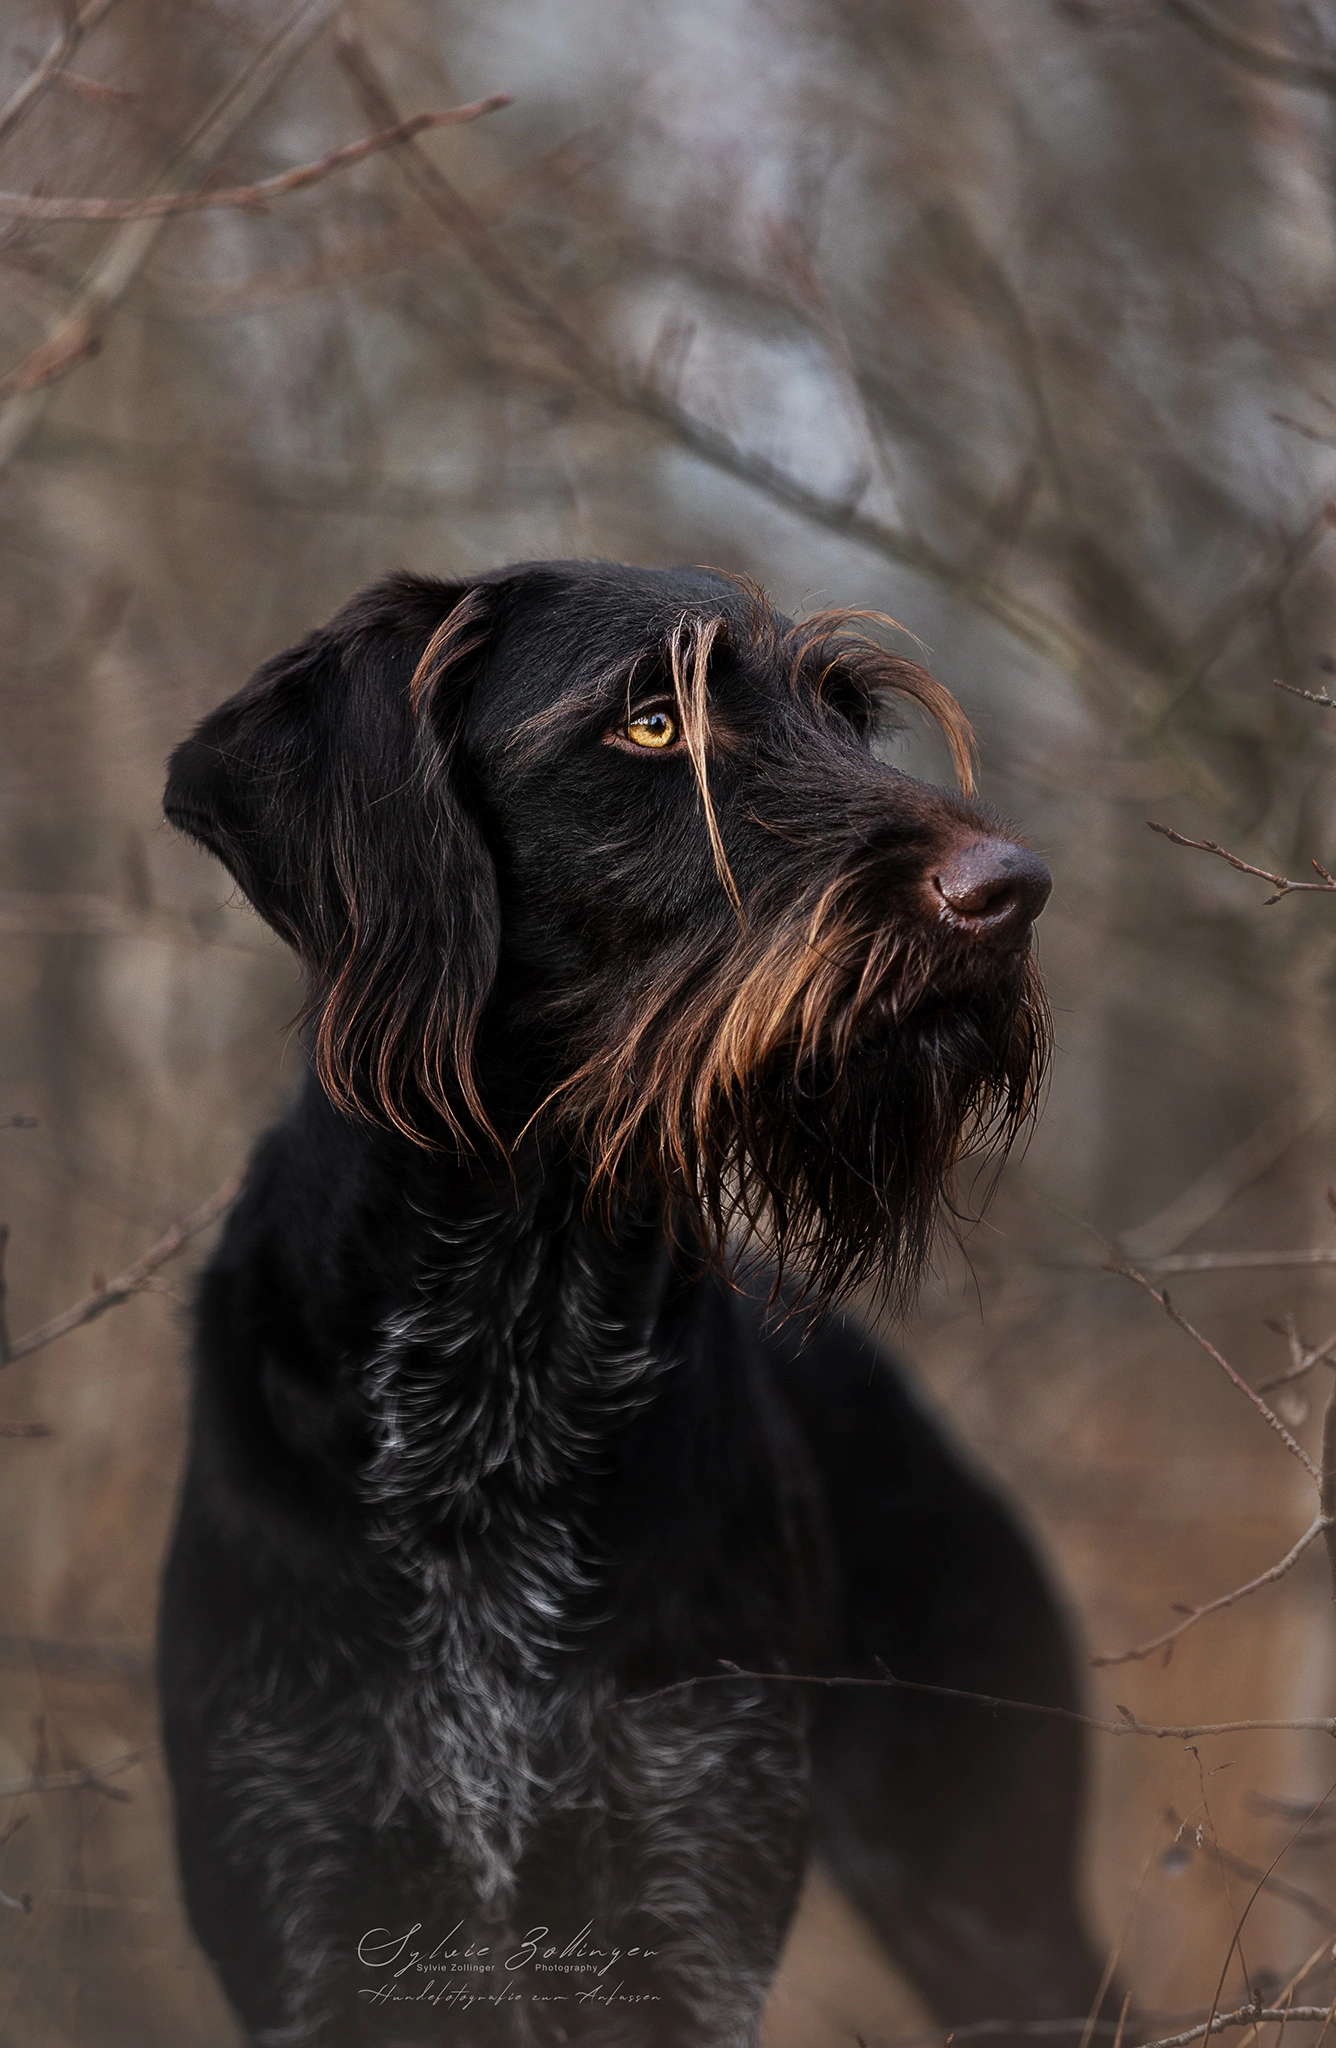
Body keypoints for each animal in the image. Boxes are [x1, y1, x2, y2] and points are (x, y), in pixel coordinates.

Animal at [158, 552, 1106, 2039]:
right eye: (653, 723)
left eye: (850, 719)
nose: (1012, 888)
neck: (509, 1331)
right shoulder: (305, 1905)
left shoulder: (687, 1888)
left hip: (994, 1896)